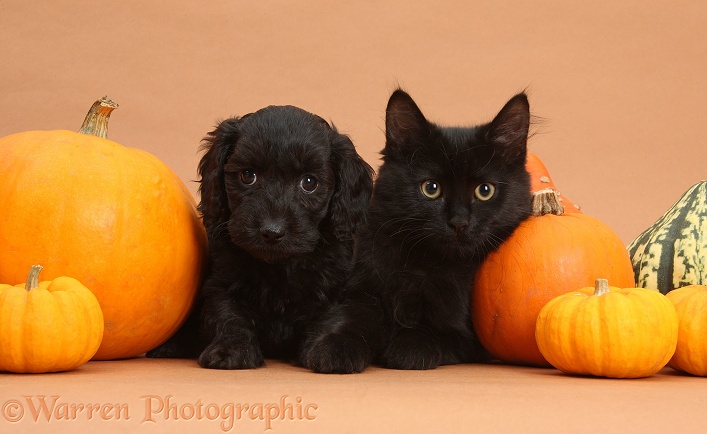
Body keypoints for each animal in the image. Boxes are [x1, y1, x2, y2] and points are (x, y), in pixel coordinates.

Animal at [147, 106, 374, 370]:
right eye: (248, 176)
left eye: (309, 182)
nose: (271, 231)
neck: (279, 266)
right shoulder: (221, 283)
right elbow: (228, 315)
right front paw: (231, 349)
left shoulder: (338, 288)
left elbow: (336, 317)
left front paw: (333, 351)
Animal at [302, 89, 532, 372]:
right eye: (431, 188)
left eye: (485, 190)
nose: (459, 222)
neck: (424, 264)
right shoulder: (361, 288)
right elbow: (352, 317)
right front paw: (334, 348)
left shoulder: (463, 331)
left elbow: (431, 329)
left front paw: (406, 349)